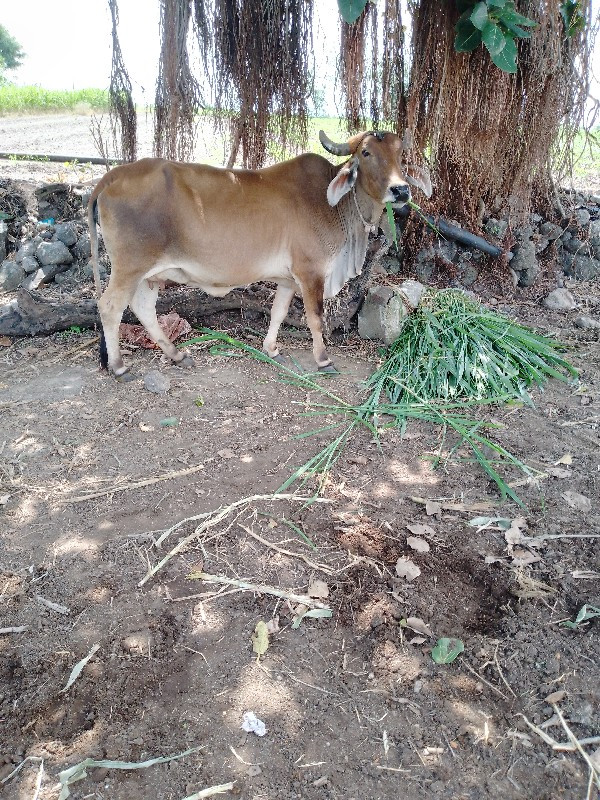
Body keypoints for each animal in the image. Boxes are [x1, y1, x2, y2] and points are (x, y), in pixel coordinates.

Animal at [88, 130, 432, 380]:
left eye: (400, 154)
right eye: (366, 153)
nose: (401, 191)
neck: (337, 206)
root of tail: (112, 176)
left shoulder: (289, 279)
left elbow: (278, 312)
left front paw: (271, 348)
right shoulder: (311, 272)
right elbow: (315, 318)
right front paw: (323, 360)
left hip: (149, 274)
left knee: (143, 308)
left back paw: (177, 355)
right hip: (130, 266)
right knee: (110, 307)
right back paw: (119, 367)